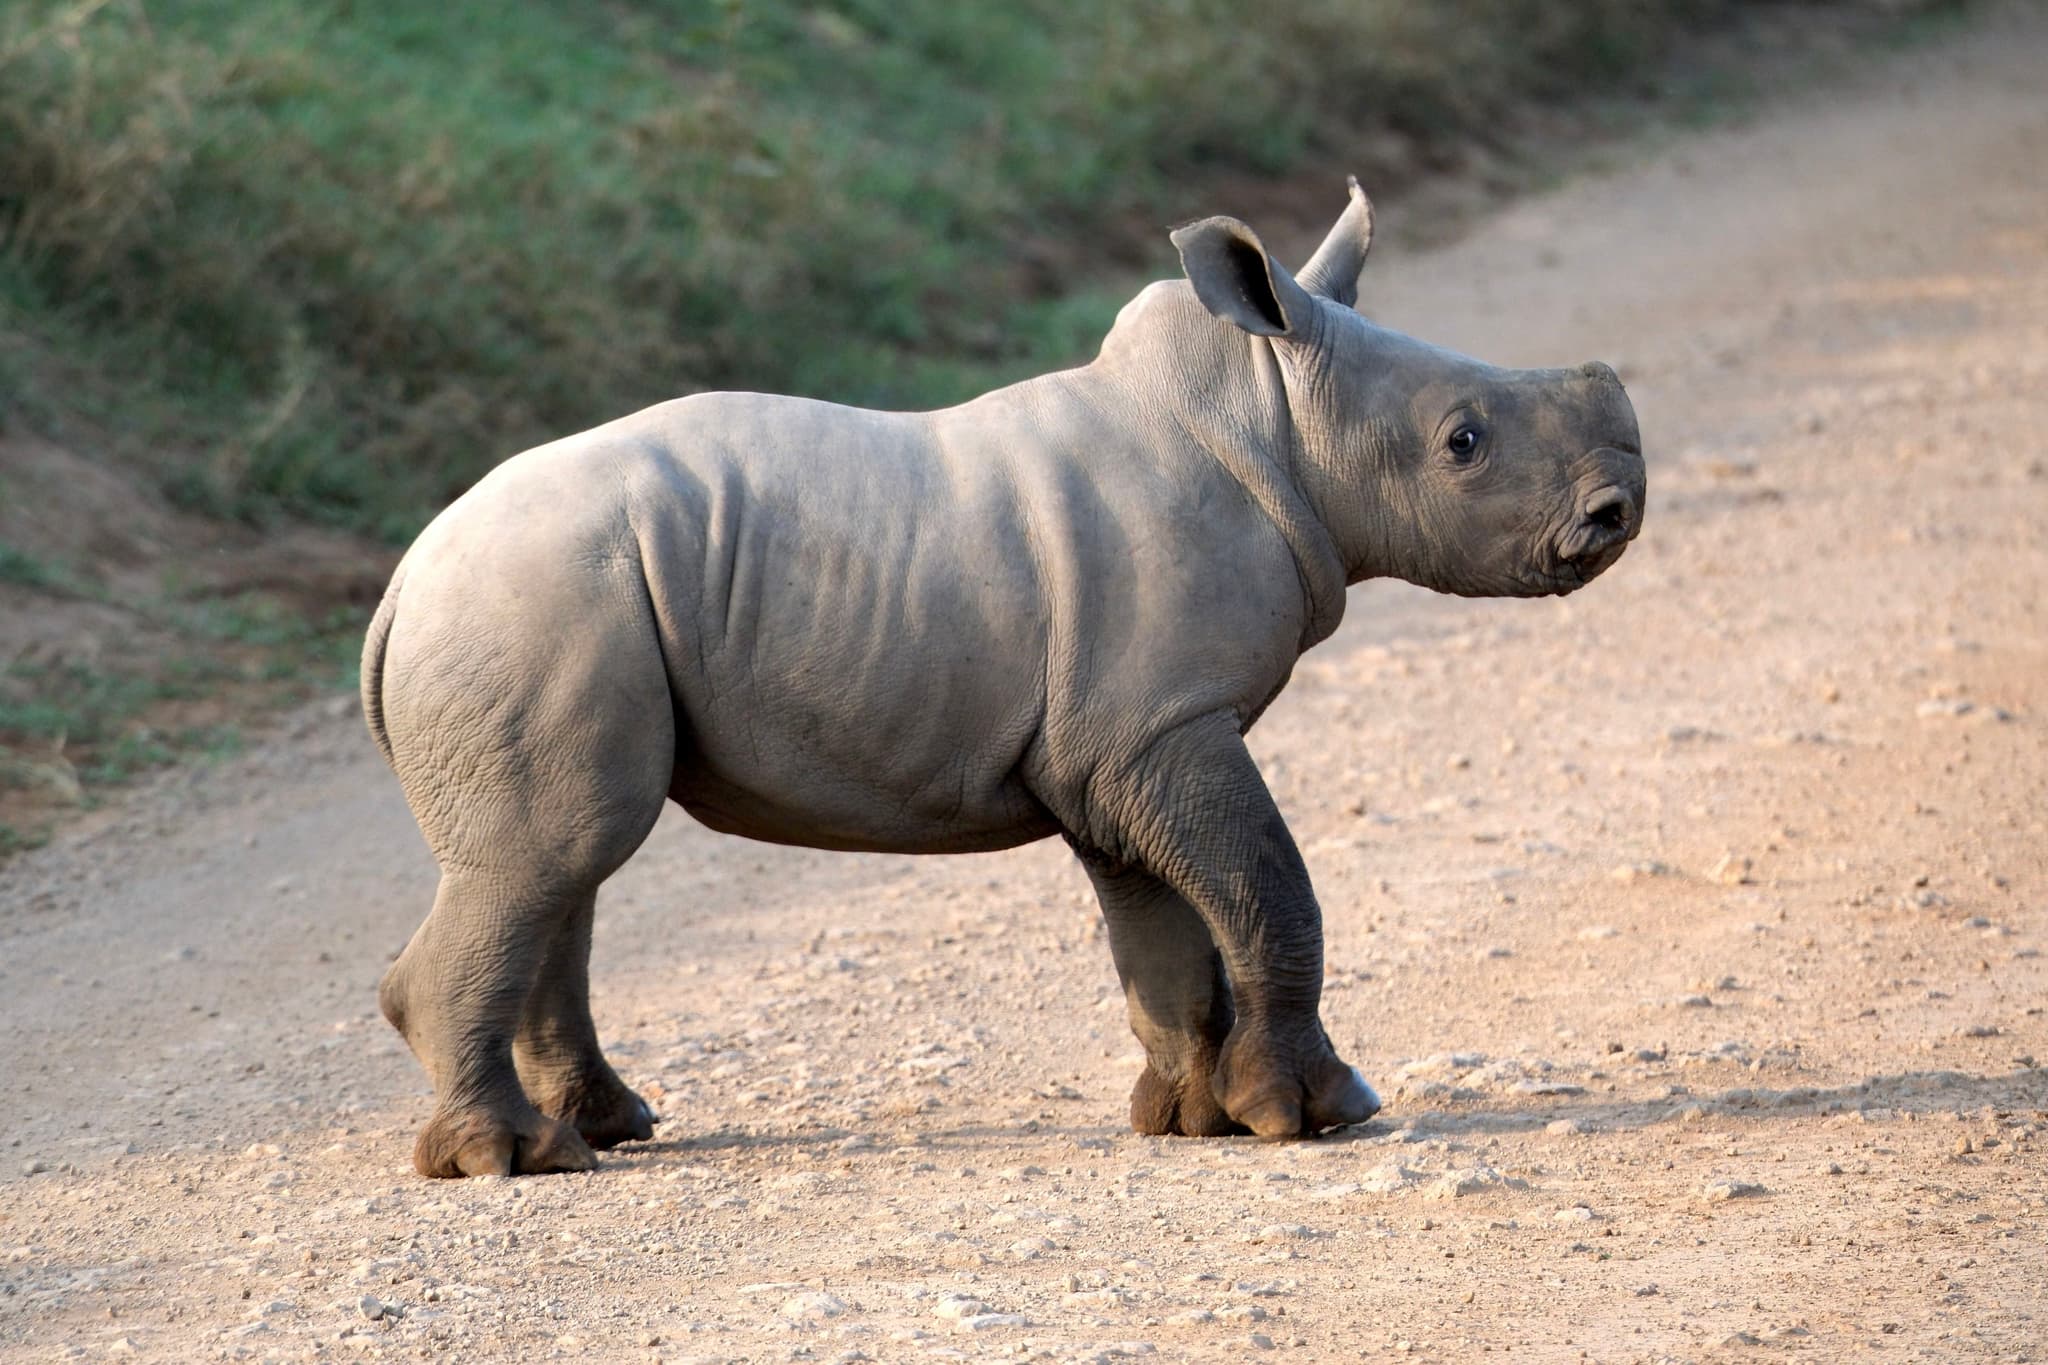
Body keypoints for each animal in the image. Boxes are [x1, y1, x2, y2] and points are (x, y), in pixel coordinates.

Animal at [362, 180, 1645, 1177]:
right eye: (1463, 443)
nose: (1615, 511)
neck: (1265, 414)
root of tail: (404, 578)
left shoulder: (1115, 743)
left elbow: (1163, 929)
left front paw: (1192, 1120)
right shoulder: (1160, 723)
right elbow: (1264, 889)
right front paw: (1315, 1114)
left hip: (553, 610)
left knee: (555, 868)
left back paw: (608, 1129)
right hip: (535, 605)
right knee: (555, 852)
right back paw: (510, 1161)